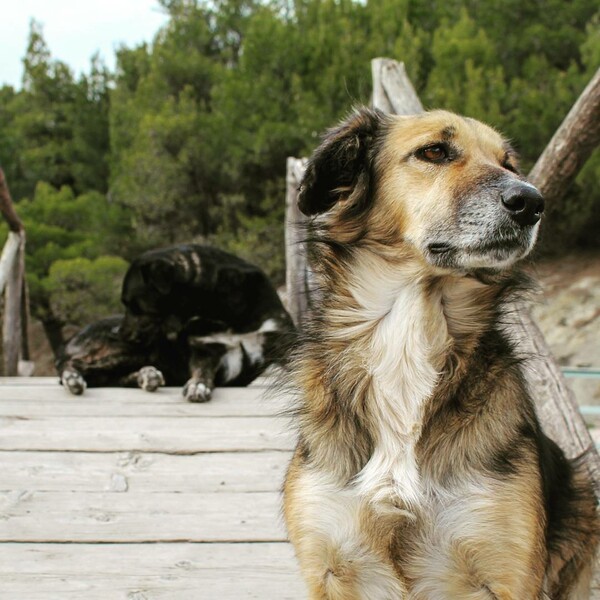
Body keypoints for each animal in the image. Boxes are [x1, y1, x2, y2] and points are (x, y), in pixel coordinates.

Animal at [57, 244, 296, 404]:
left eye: (132, 304)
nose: (118, 332)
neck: (226, 313)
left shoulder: (282, 341)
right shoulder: (206, 350)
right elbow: (201, 371)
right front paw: (198, 385)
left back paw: (147, 376)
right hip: (130, 350)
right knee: (74, 366)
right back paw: (73, 379)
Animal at [284, 109, 596, 600]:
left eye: (509, 163)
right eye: (434, 151)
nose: (531, 202)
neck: (410, 334)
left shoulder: (505, 572)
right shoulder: (328, 568)